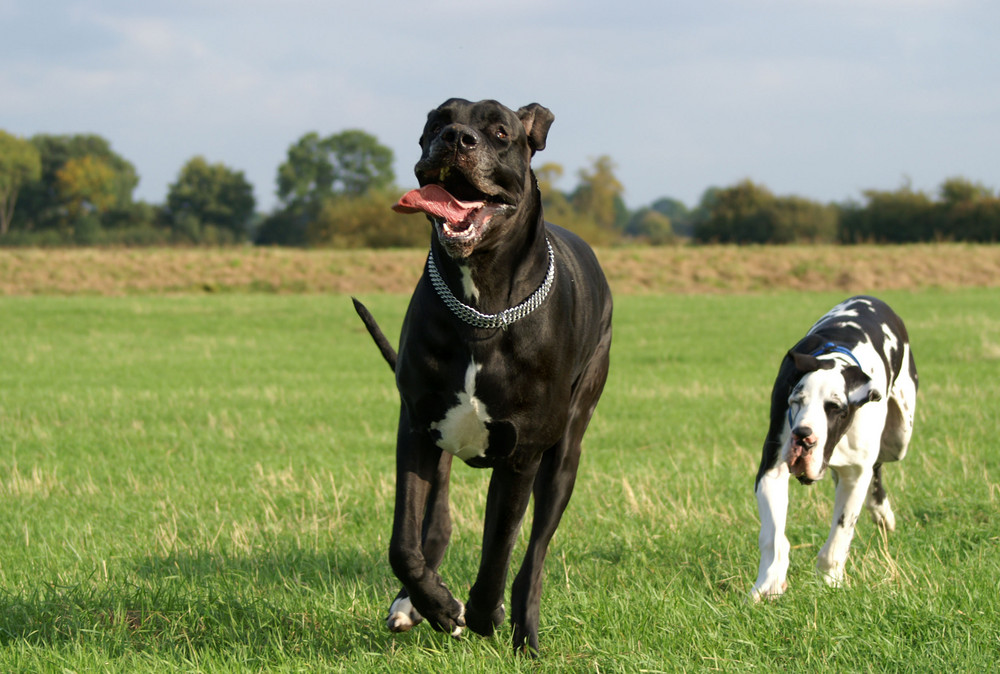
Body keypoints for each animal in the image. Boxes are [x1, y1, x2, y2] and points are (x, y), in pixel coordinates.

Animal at [356, 98, 612, 652]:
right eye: (437, 120)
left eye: (499, 132)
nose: (457, 138)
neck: (483, 307)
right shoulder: (416, 428)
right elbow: (403, 543)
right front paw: (439, 605)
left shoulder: (522, 453)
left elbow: (499, 546)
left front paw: (482, 613)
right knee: (436, 527)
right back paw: (416, 605)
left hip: (565, 454)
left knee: (533, 553)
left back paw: (524, 633)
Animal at [752, 294, 916, 600]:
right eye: (796, 400)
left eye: (835, 408)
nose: (804, 436)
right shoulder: (772, 470)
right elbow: (773, 538)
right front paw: (769, 583)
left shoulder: (856, 474)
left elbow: (840, 535)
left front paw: (830, 580)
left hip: (899, 438)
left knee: (878, 466)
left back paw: (881, 512)